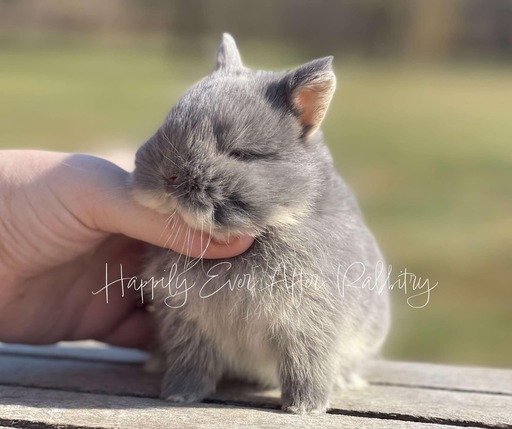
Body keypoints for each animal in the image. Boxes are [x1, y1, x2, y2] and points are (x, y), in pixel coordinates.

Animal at [131, 31, 388, 412]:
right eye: (165, 126)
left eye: (241, 153)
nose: (170, 177)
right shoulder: (186, 320)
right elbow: (191, 362)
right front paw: (180, 395)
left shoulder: (308, 322)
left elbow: (306, 366)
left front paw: (305, 408)